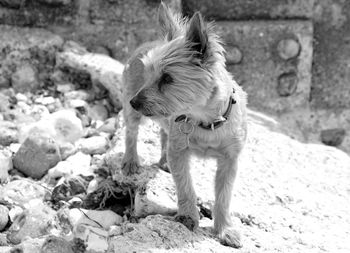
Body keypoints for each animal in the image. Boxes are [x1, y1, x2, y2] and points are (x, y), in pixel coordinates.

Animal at [121, 2, 247, 248]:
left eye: (167, 78)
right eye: (148, 74)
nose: (135, 102)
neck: (205, 120)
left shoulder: (230, 161)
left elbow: (224, 196)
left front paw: (224, 230)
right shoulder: (180, 152)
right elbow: (185, 186)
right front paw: (188, 217)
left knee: (164, 134)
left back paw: (163, 161)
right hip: (132, 113)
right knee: (131, 133)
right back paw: (131, 161)